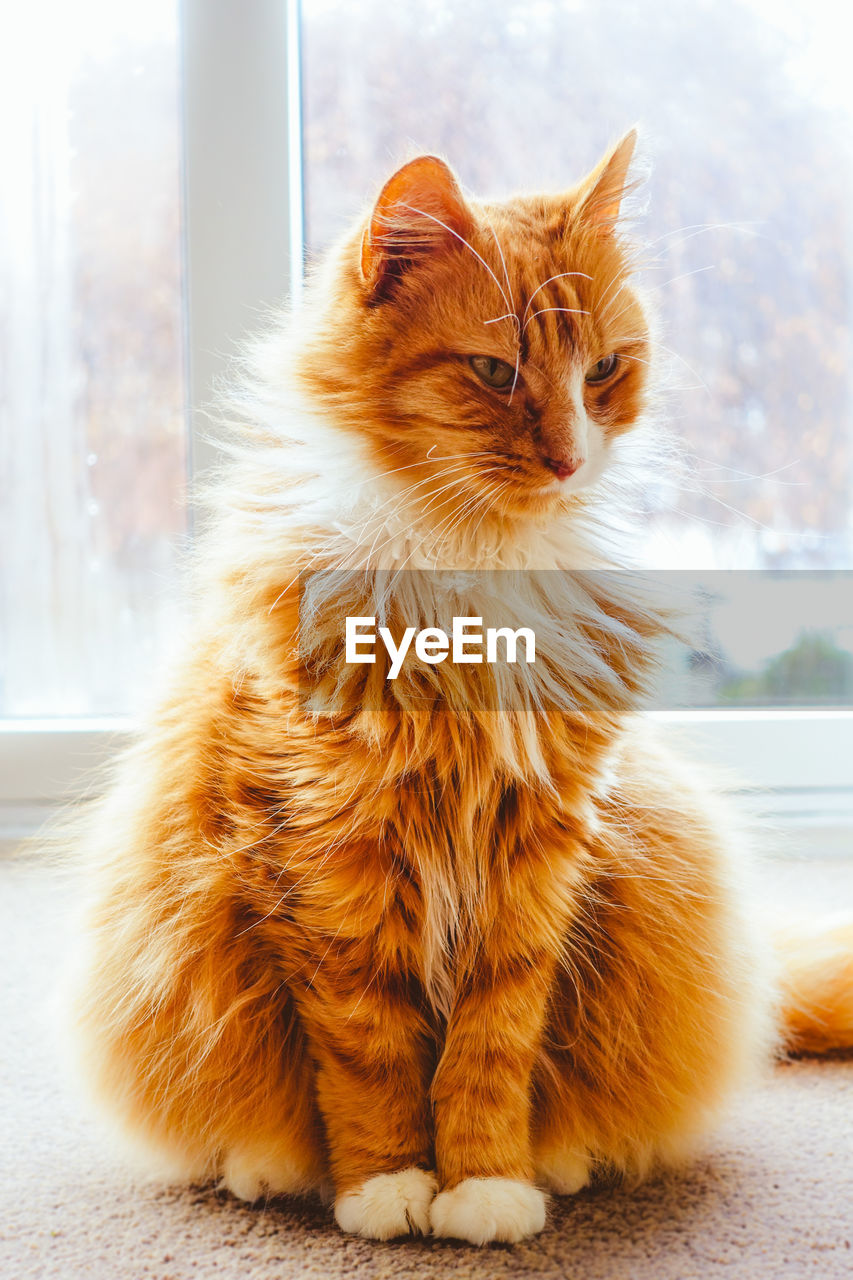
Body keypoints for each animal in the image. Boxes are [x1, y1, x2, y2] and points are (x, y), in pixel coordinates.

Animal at [61, 135, 850, 1244]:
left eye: (601, 373)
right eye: (493, 372)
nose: (567, 462)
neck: (473, 575)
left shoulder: (536, 856)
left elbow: (491, 1048)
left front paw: (485, 1184)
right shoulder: (329, 857)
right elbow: (369, 1055)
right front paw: (387, 1186)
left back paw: (562, 1159)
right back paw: (269, 1167)